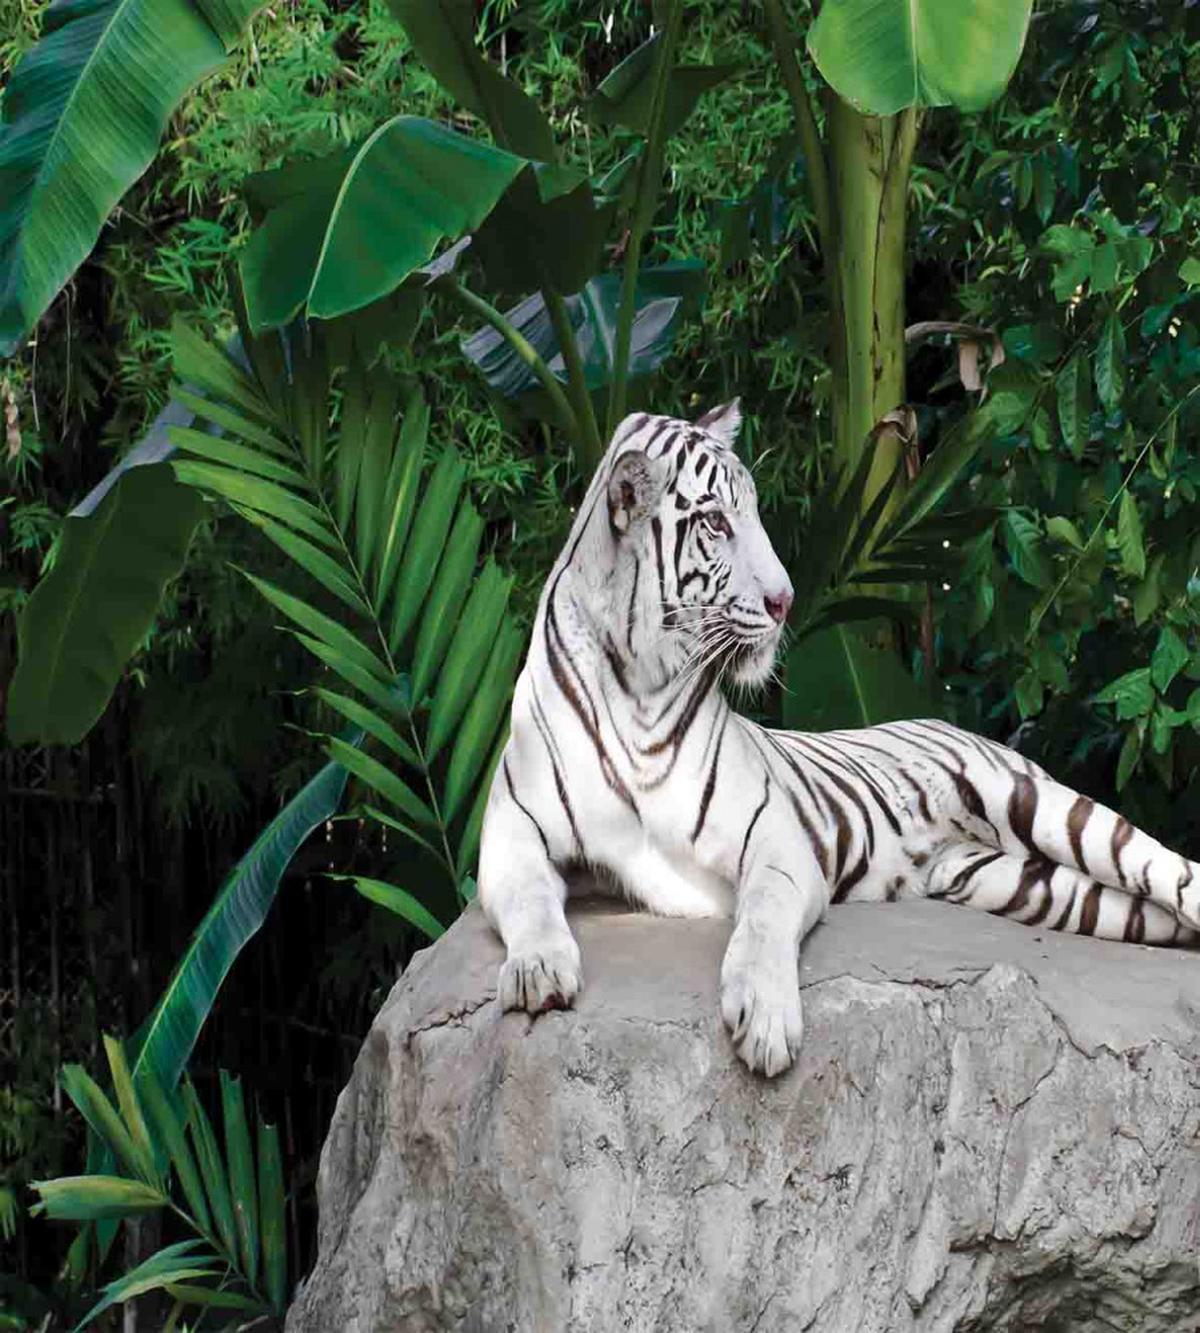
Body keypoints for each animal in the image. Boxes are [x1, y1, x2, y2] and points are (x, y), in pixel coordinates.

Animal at [477, 402, 1200, 1078]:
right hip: (1027, 884)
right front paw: (538, 968)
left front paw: (766, 1018)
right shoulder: (511, 829)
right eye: (715, 523)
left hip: (1043, 806)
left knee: (1173, 870)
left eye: (755, 513)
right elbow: (530, 896)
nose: (785, 600)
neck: (638, 689)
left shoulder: (774, 837)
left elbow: (762, 915)